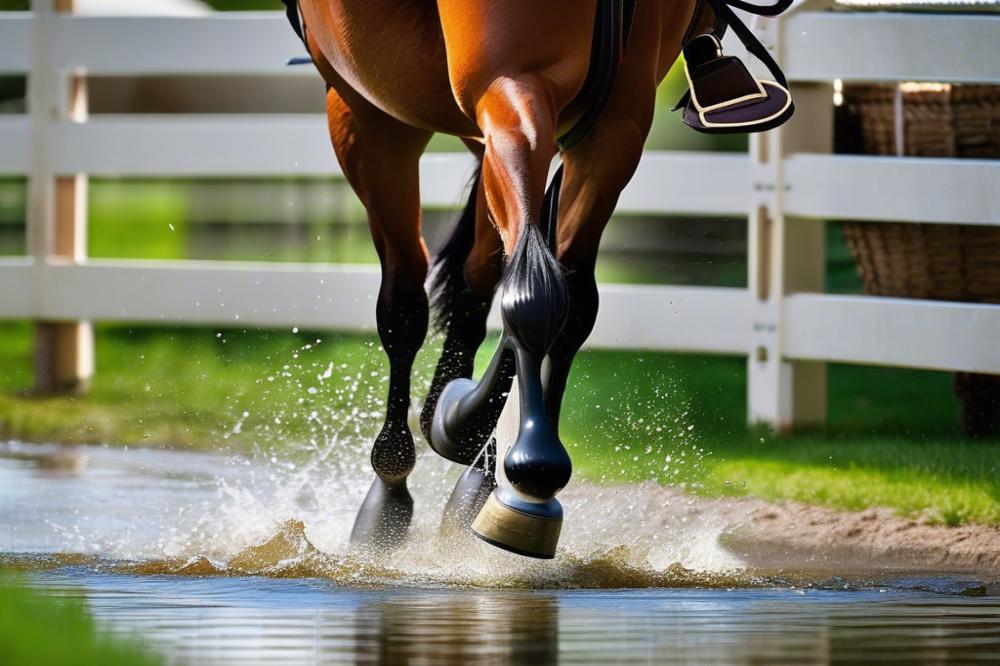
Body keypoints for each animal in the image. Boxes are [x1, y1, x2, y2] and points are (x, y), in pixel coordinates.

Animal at [286, 0, 776, 556]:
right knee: (481, 280)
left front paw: (496, 469)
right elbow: (505, 294)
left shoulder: (607, 125)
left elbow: (548, 300)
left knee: (497, 277)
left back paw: (466, 449)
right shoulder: (403, 110)